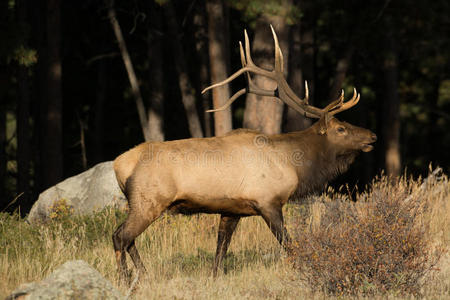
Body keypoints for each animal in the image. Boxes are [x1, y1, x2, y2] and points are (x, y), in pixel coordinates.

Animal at [111, 26, 376, 282]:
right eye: (341, 128)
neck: (293, 165)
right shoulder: (268, 201)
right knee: (120, 236)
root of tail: (119, 164)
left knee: (128, 239)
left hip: (140, 203)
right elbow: (289, 244)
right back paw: (125, 280)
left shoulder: (231, 210)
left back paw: (144, 275)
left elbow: (220, 250)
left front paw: (214, 279)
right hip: (148, 200)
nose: (372, 136)